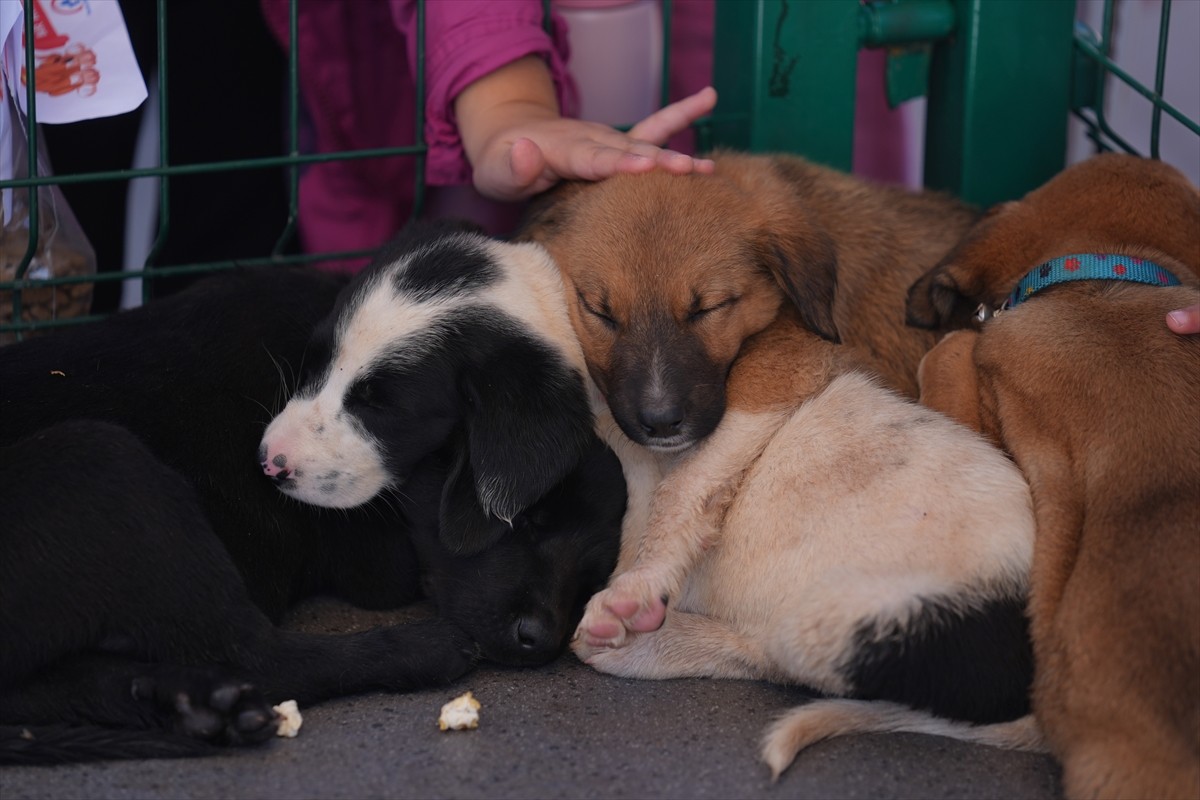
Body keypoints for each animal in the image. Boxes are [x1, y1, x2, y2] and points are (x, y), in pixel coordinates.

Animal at [2, 224, 628, 762]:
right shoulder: (373, 559)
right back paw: (415, 650)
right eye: (528, 520)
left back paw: (196, 706)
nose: (540, 640)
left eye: (595, 564)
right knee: (259, 657)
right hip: (102, 460)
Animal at [520, 149, 1036, 777]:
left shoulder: (786, 364)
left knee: (770, 656)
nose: (660, 422)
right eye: (601, 312)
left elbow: (684, 489)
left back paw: (649, 642)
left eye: (709, 307)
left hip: (842, 618)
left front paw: (640, 584)